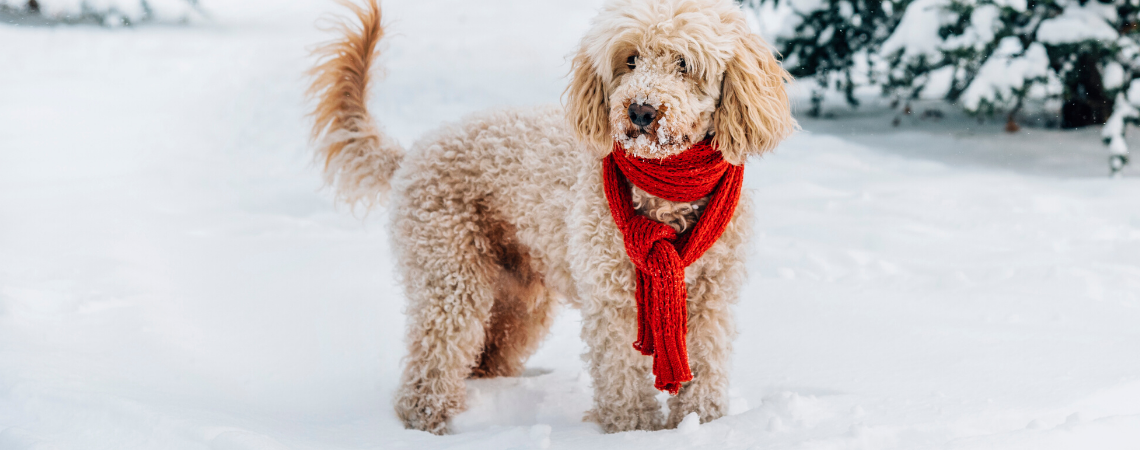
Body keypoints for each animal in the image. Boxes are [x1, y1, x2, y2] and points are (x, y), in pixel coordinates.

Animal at [307, 0, 798, 432]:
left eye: (684, 63)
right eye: (630, 59)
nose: (640, 110)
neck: (665, 191)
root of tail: (415, 151)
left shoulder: (710, 300)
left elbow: (705, 371)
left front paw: (703, 425)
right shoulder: (612, 299)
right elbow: (622, 378)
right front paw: (634, 432)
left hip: (521, 298)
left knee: (488, 355)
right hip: (449, 274)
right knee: (434, 357)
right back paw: (428, 420)